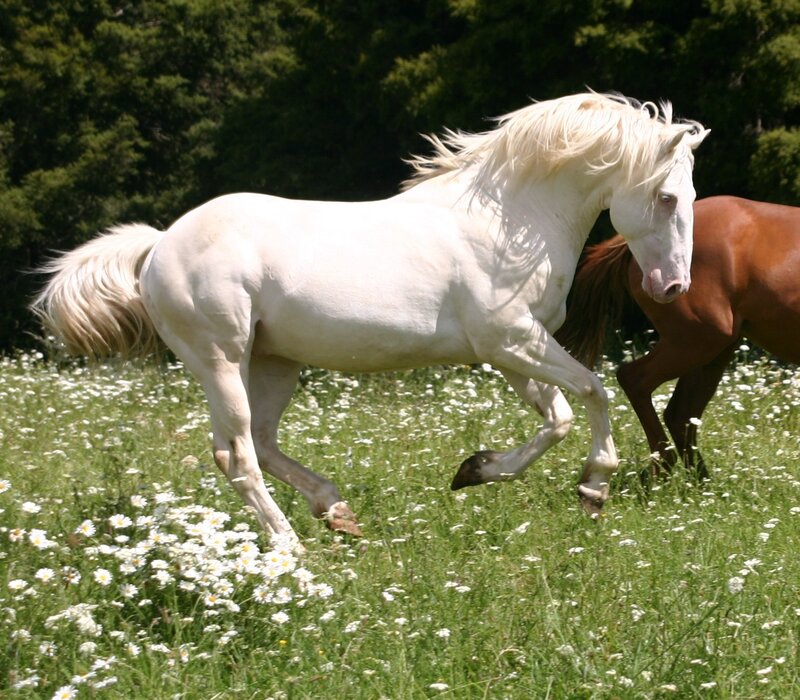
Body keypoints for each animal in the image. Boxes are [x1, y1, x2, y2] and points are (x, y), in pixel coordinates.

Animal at [32, 92, 707, 548]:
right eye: (667, 197)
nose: (673, 286)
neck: (511, 220)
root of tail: (158, 247)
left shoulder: (514, 351)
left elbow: (558, 418)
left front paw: (475, 471)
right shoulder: (512, 340)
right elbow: (593, 392)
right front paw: (594, 488)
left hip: (274, 362)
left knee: (263, 443)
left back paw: (337, 512)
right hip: (220, 359)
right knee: (238, 454)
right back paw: (289, 547)